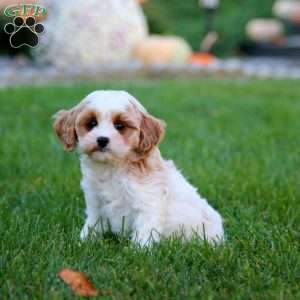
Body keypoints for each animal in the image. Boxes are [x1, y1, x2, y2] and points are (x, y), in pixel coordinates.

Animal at [52, 90, 224, 245]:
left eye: (119, 125)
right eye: (92, 123)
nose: (102, 140)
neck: (113, 167)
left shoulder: (147, 203)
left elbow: (144, 232)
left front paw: (139, 251)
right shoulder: (95, 203)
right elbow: (92, 225)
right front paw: (83, 241)